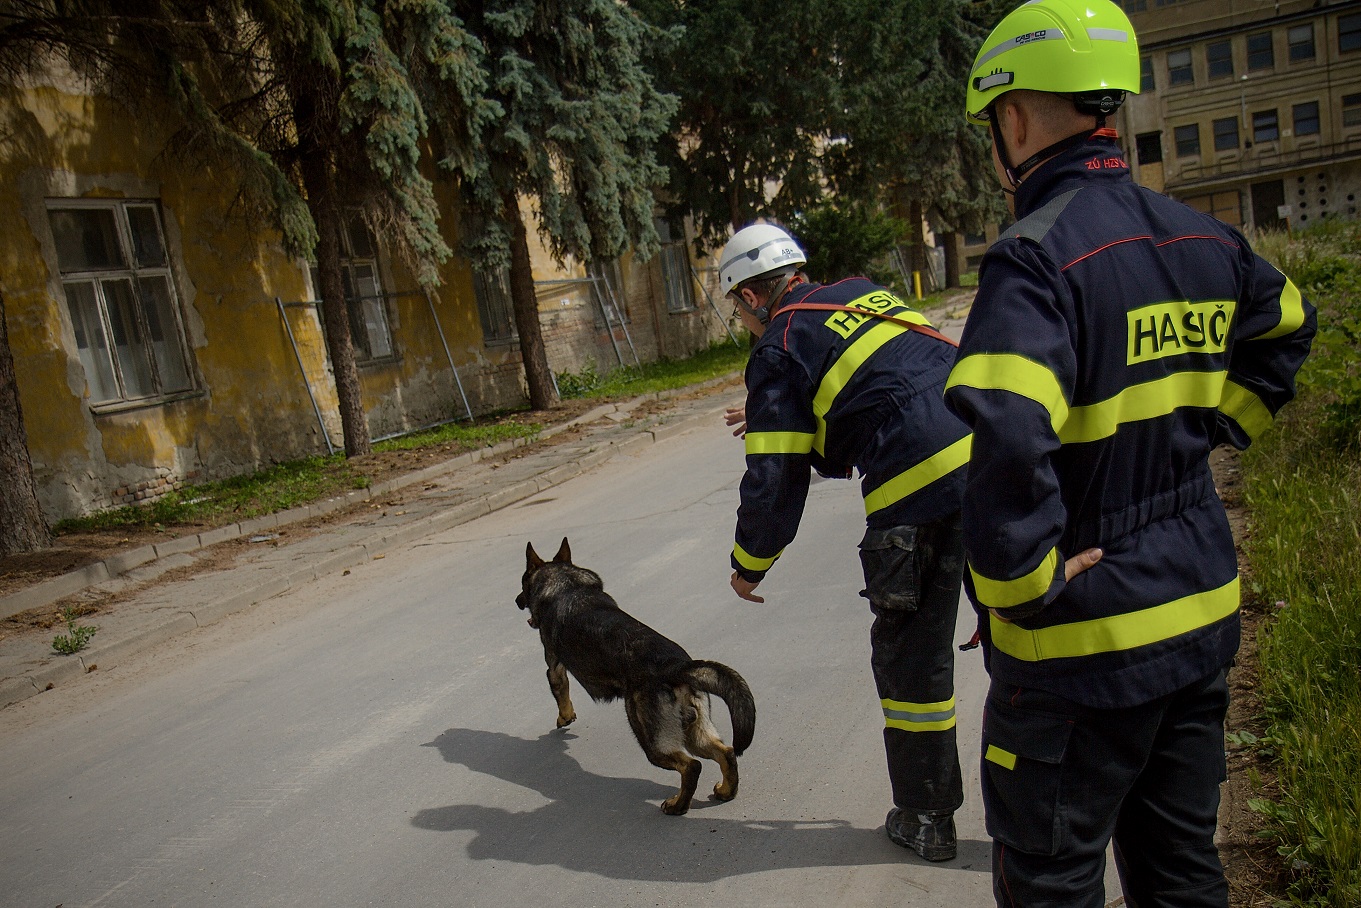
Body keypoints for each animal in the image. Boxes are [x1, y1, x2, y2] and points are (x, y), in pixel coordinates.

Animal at [517, 539, 762, 816]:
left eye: (523, 584)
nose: (516, 601)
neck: (567, 584)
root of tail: (675, 666)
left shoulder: (554, 666)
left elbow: (561, 694)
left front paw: (565, 717)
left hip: (651, 739)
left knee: (692, 766)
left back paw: (678, 806)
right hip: (695, 733)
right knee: (726, 753)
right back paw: (726, 791)